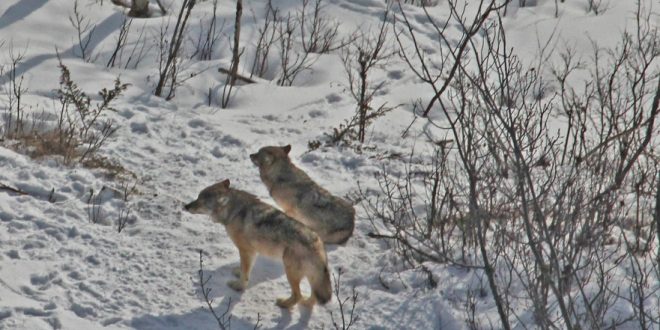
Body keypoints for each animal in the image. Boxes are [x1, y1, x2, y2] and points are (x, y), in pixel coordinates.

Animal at [184, 179, 330, 308]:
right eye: (198, 197)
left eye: (200, 201)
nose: (185, 206)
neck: (234, 211)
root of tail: (317, 243)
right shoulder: (251, 252)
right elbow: (244, 268)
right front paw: (238, 272)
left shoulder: (246, 250)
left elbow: (245, 273)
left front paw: (238, 286)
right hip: (308, 277)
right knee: (312, 298)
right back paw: (305, 303)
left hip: (290, 271)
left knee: (298, 296)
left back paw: (284, 304)